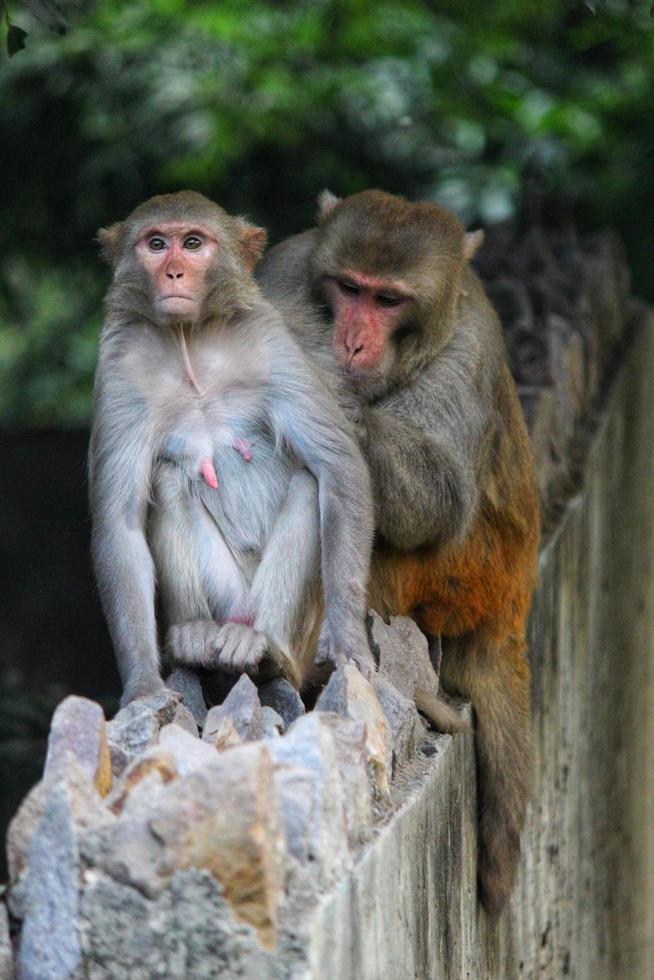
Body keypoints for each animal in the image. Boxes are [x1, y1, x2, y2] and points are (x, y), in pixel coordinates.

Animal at [89, 191, 374, 708]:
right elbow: (120, 522)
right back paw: (195, 635)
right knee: (165, 477)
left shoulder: (269, 338)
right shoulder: (121, 365)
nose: (173, 273)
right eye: (156, 244)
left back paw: (267, 651)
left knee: (312, 486)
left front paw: (348, 644)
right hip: (228, 596)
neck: (189, 339)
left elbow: (338, 468)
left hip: (288, 623)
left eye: (193, 243)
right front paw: (143, 684)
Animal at [258, 191, 540, 920]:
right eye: (348, 287)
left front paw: (334, 397)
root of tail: (511, 609)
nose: (351, 340)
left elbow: (438, 499)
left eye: (389, 300)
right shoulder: (285, 273)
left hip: (465, 581)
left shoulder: (469, 348)